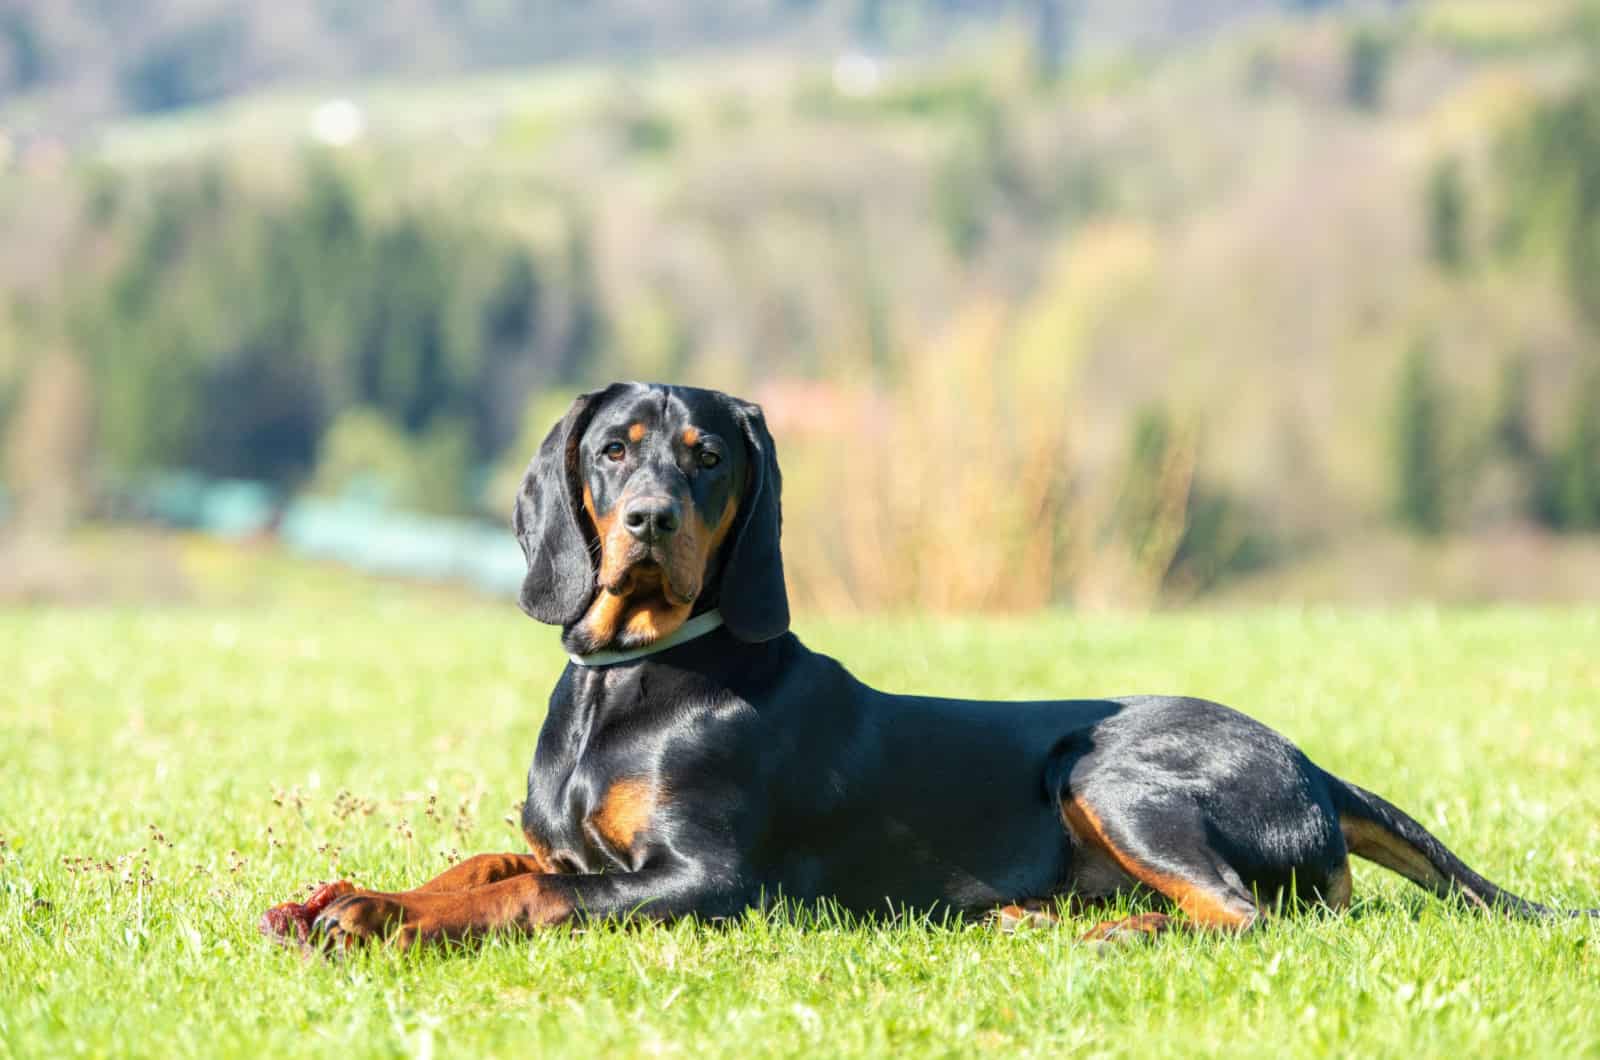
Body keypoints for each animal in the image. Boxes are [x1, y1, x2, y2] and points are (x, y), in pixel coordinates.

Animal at [259, 384, 1587, 954]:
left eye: (704, 454)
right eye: (612, 449)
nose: (645, 521)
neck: (626, 684)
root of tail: (1314, 765)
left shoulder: (703, 879)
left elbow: (521, 893)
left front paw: (377, 918)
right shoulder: (581, 846)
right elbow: (489, 863)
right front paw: (345, 895)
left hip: (1107, 765)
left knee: (1250, 916)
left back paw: (1118, 934)